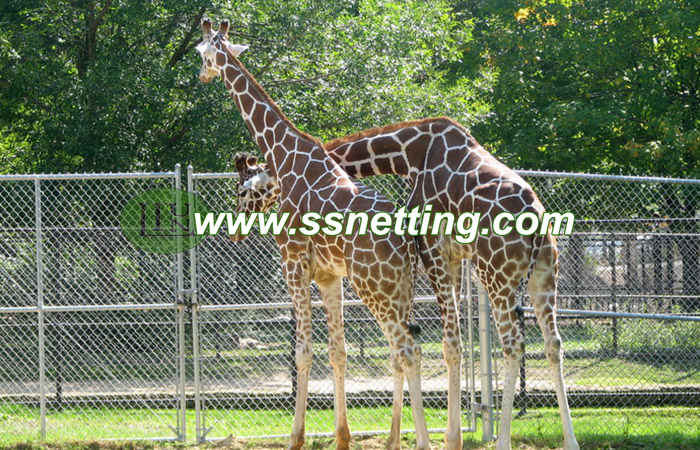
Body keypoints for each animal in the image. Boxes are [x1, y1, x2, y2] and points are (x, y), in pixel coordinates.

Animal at [196, 19, 431, 450]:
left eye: (203, 53)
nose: (202, 75)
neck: (286, 156)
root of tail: (405, 238)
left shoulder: (293, 263)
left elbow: (303, 351)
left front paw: (296, 438)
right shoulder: (328, 275)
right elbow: (337, 351)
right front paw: (342, 437)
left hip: (374, 286)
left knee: (407, 349)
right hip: (400, 287)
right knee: (399, 350)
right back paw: (394, 438)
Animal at [232, 117, 580, 450]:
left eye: (244, 190)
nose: (237, 228)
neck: (409, 153)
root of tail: (536, 219)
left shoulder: (431, 247)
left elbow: (448, 345)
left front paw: (450, 438)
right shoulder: (445, 256)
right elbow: (433, 345)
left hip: (497, 276)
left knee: (512, 344)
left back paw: (504, 441)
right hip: (544, 274)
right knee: (553, 343)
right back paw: (570, 441)